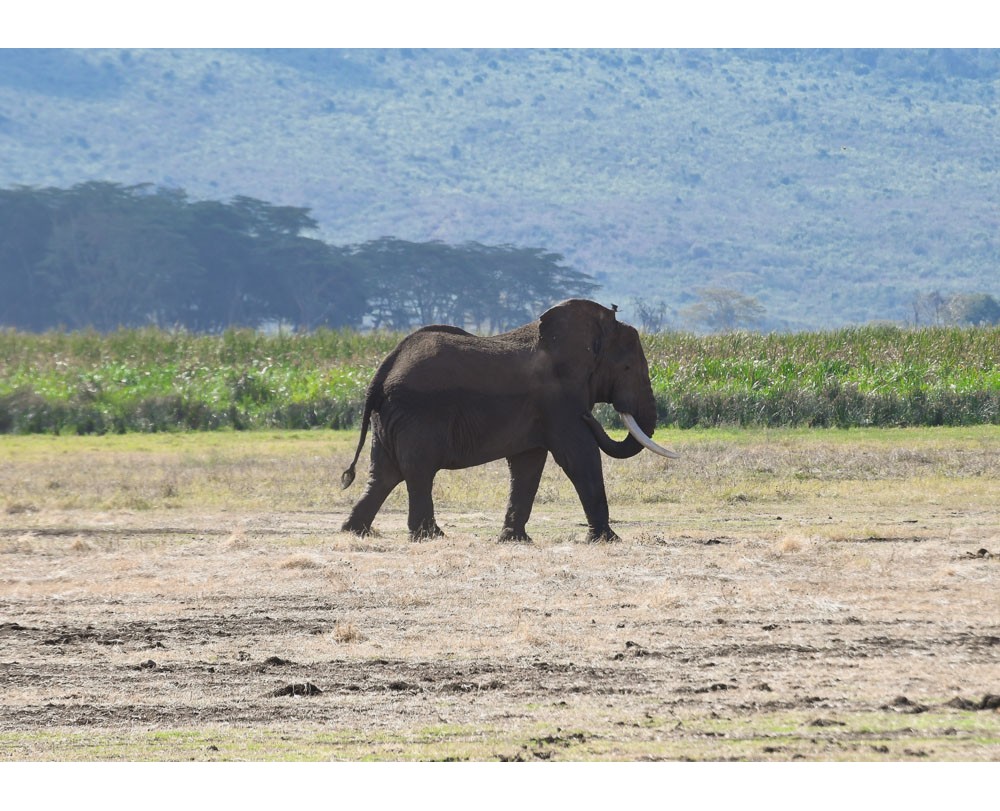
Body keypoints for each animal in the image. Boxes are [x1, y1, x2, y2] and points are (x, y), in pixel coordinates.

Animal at [340, 294, 676, 544]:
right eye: (628, 368)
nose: (589, 415)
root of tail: (383, 371)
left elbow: (528, 465)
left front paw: (515, 540)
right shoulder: (559, 401)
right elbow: (580, 456)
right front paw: (607, 540)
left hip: (389, 419)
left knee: (384, 473)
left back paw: (355, 532)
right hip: (418, 415)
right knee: (418, 470)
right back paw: (431, 537)